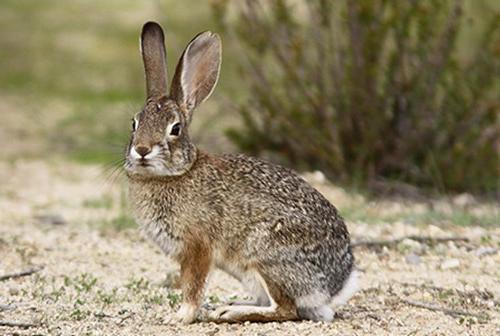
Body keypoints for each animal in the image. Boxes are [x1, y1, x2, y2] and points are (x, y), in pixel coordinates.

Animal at [125, 22, 360, 324]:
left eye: (175, 128)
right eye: (134, 123)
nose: (142, 150)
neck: (175, 174)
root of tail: (337, 285)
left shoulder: (198, 248)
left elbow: (193, 286)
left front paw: (179, 317)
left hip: (266, 256)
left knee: (286, 309)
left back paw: (229, 312)